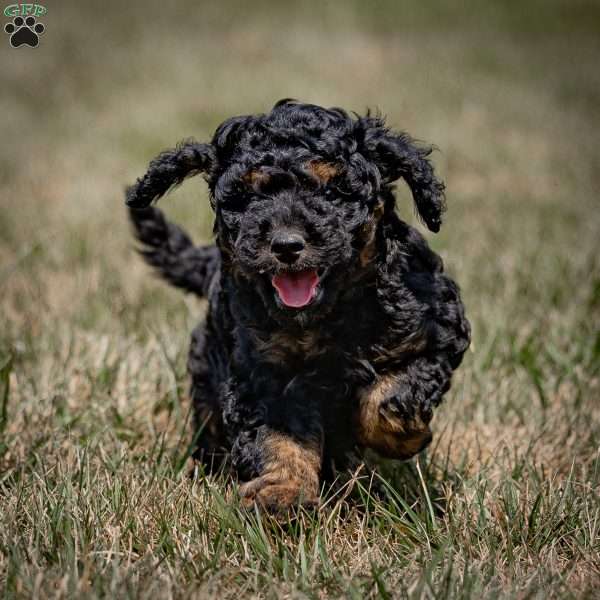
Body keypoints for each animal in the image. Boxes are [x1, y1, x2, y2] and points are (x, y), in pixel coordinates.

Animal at [126, 99, 472, 510]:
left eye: (334, 191)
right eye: (247, 197)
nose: (287, 245)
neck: (330, 315)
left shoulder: (435, 329)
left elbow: (392, 395)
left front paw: (400, 437)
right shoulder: (262, 371)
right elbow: (278, 435)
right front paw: (283, 492)